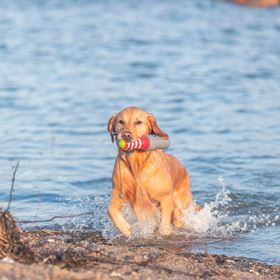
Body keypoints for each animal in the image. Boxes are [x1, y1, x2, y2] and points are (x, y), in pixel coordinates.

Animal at [106, 107, 200, 236]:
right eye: (121, 121)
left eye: (138, 122)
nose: (126, 135)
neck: (136, 164)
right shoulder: (119, 192)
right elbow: (110, 210)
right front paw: (125, 228)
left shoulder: (165, 197)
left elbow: (164, 223)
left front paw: (164, 232)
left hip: (180, 206)